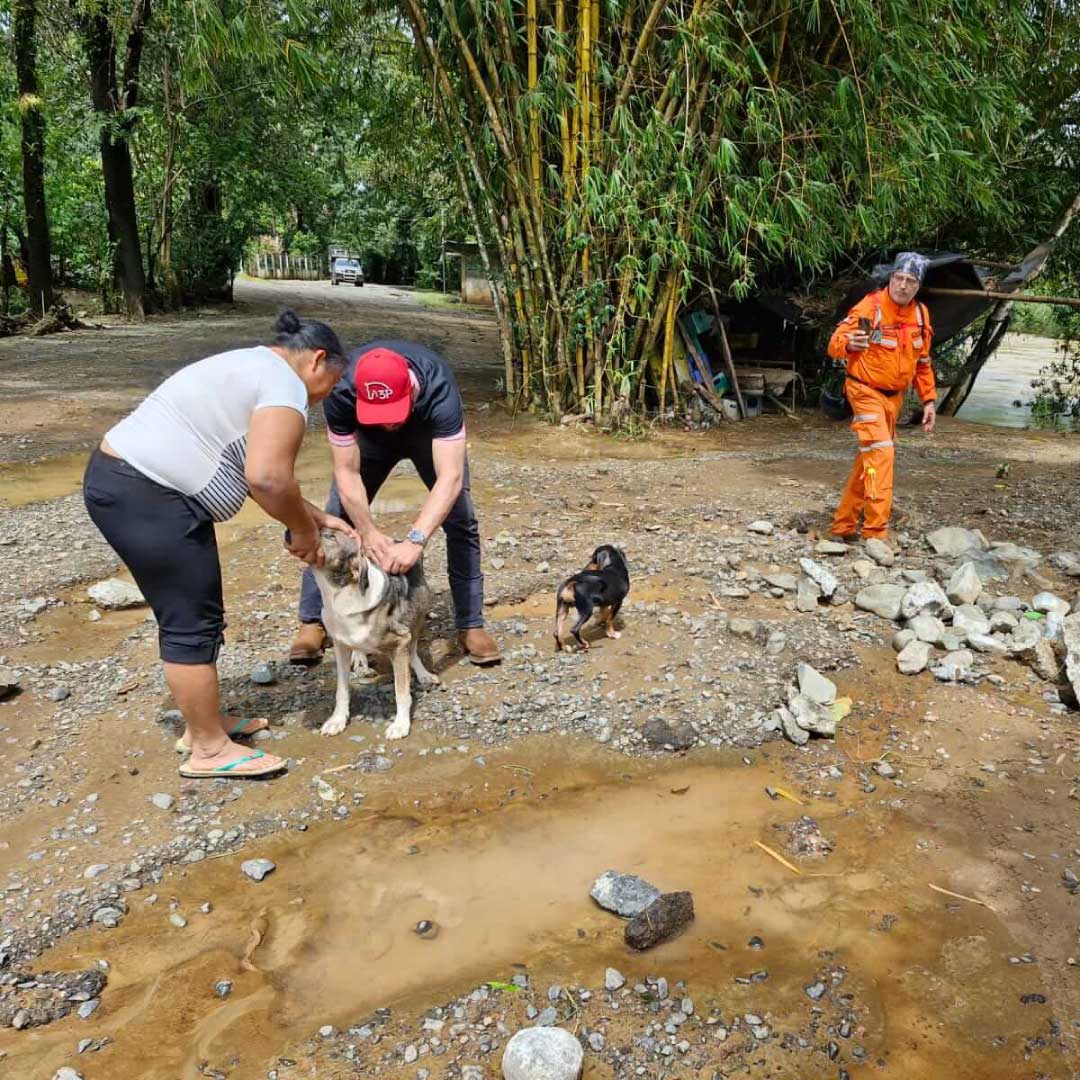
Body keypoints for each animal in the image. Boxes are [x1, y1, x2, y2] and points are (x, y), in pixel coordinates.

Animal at [308, 527, 438, 738]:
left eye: (331, 537)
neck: (339, 598)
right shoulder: (340, 645)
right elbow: (342, 690)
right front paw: (337, 720)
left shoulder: (400, 641)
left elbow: (401, 692)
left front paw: (400, 725)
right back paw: (360, 658)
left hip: (418, 613)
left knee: (413, 650)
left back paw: (423, 674)